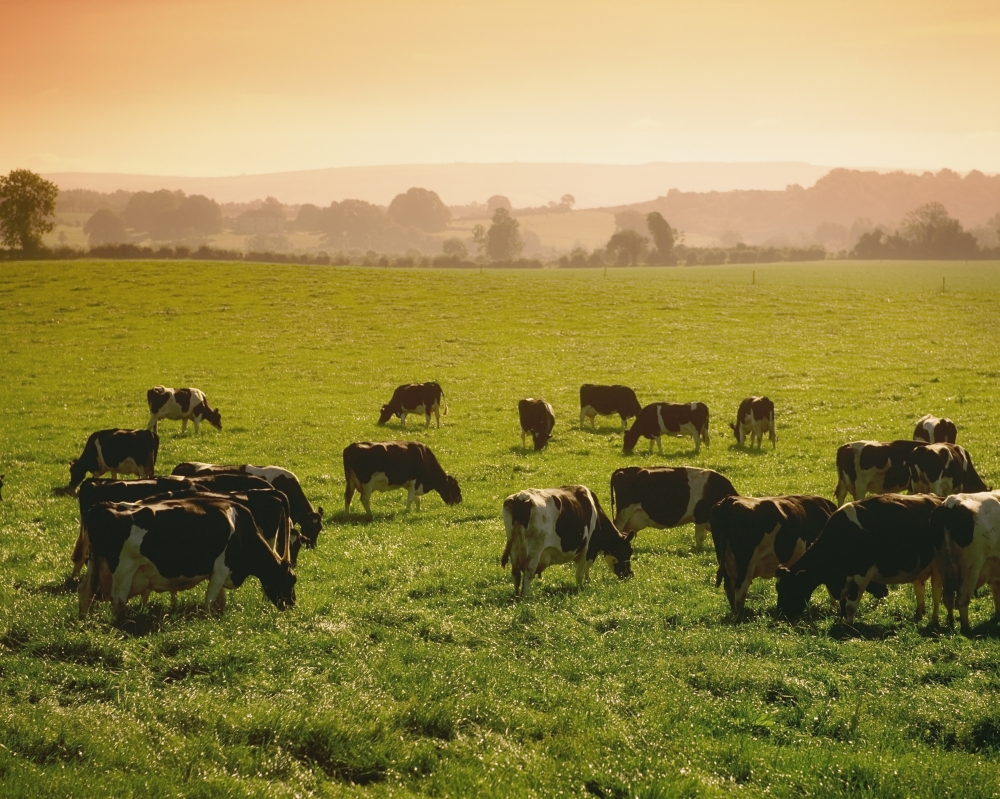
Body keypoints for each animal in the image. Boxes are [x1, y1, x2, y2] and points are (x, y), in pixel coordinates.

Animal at [78, 496, 296, 621]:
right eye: (292, 579)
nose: (291, 603)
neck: (240, 528)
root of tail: (102, 506)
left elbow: (220, 599)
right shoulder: (221, 568)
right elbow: (210, 599)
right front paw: (208, 620)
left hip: (94, 564)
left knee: (85, 591)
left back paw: (85, 622)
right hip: (124, 568)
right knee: (118, 599)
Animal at [500, 485, 634, 598]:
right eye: (628, 551)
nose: (630, 574)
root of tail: (519, 498)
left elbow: (586, 569)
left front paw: (588, 581)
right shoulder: (587, 549)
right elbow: (580, 572)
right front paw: (580, 588)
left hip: (514, 548)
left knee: (516, 573)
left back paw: (517, 595)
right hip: (535, 549)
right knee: (528, 571)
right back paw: (525, 597)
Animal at [775, 494, 944, 624]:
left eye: (791, 588)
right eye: (778, 588)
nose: (781, 615)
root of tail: (938, 499)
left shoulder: (861, 575)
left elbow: (850, 605)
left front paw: (848, 625)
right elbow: (843, 603)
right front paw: (842, 620)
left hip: (938, 567)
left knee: (936, 593)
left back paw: (934, 620)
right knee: (919, 590)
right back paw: (919, 614)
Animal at [930, 491, 1000, 633]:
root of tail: (950, 503)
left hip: (943, 565)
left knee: (948, 597)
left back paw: (951, 622)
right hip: (971, 567)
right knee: (962, 599)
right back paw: (965, 628)